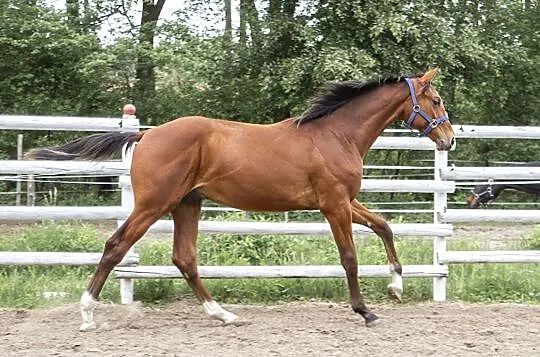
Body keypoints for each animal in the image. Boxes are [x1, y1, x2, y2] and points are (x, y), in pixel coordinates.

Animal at [26, 68, 456, 330]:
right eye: (435, 100)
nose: (449, 139)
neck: (336, 135)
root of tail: (146, 135)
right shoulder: (333, 204)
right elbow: (349, 257)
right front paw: (366, 311)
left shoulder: (344, 202)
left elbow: (384, 226)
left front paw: (396, 288)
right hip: (153, 204)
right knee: (116, 245)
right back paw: (87, 315)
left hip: (187, 204)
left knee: (184, 257)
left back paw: (223, 314)